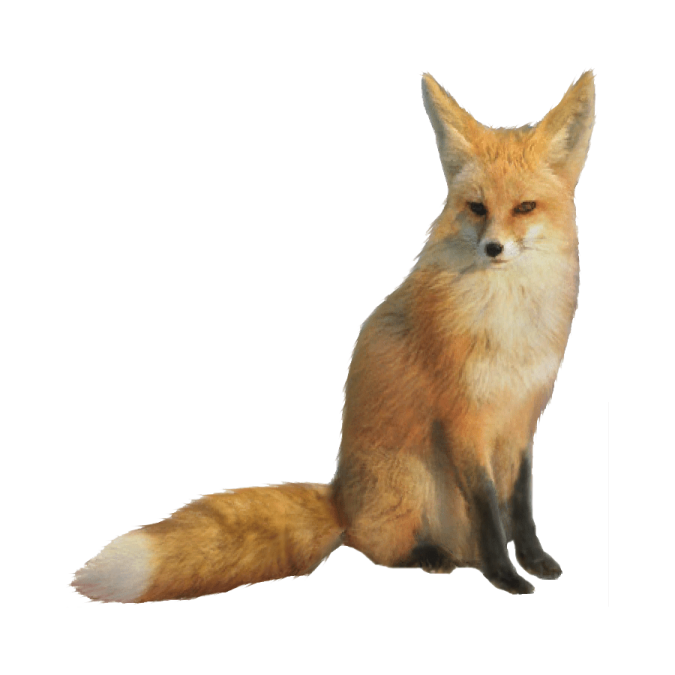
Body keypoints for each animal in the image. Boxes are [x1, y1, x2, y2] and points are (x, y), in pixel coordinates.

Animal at [70, 70, 595, 602]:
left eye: (524, 207)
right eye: (477, 208)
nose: (493, 248)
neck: (509, 320)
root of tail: (339, 497)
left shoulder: (521, 423)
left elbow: (521, 509)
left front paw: (536, 563)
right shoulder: (465, 423)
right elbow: (489, 515)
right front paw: (506, 578)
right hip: (413, 480)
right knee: (373, 544)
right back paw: (432, 556)